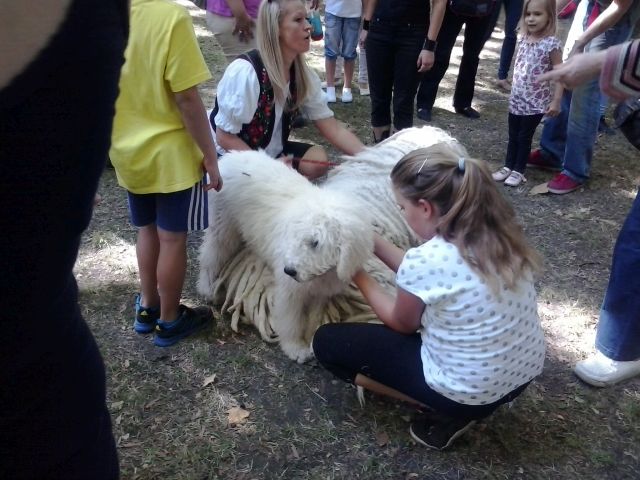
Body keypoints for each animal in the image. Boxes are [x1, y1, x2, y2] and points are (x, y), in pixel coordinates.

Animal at [198, 125, 468, 362]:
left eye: (316, 243)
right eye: (300, 238)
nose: (290, 269)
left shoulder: (320, 292)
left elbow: (313, 316)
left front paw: (310, 338)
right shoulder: (290, 291)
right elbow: (290, 319)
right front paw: (295, 348)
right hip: (223, 223)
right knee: (210, 253)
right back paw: (206, 288)